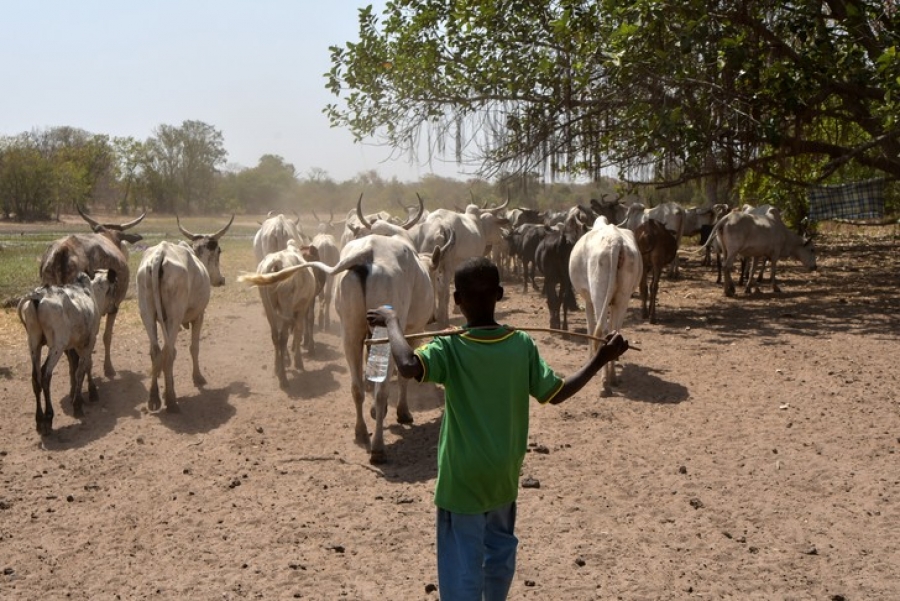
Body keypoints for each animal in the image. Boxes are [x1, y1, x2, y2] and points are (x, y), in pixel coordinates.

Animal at [17, 270, 118, 434]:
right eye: (113, 289)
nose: (115, 308)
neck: (90, 292)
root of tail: (37, 297)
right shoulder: (89, 341)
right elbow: (83, 368)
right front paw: (83, 400)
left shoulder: (74, 346)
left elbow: (75, 368)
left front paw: (77, 396)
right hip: (56, 346)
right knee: (45, 374)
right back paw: (48, 418)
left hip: (34, 343)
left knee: (35, 377)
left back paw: (39, 420)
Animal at [568, 218, 644, 396]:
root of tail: (616, 241)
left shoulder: (587, 299)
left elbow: (590, 327)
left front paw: (590, 358)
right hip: (624, 295)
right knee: (614, 331)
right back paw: (613, 377)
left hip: (598, 291)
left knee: (602, 330)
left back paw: (604, 382)